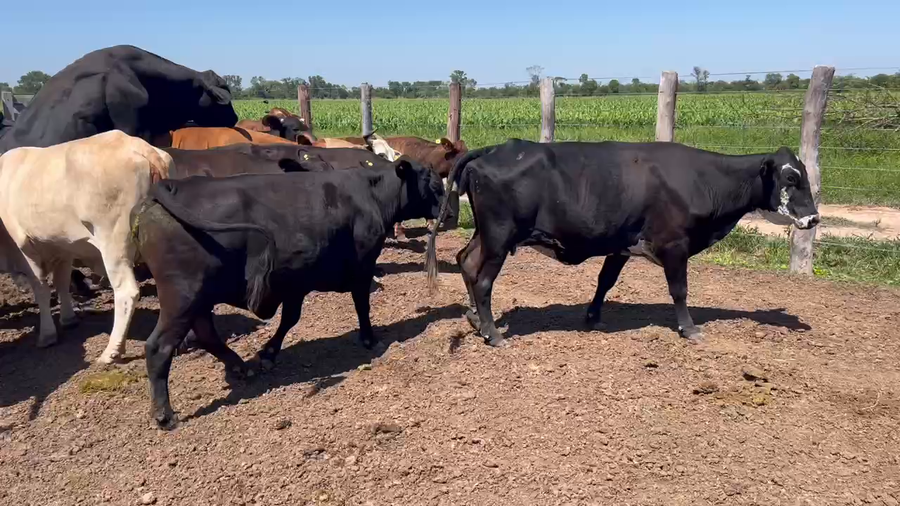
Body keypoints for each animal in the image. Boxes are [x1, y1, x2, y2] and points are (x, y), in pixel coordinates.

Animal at [0, 130, 172, 363]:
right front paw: (68, 319)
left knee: (126, 292)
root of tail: (140, 147)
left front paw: (47, 335)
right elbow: (62, 283)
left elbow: (41, 290)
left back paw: (112, 351)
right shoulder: (63, 247)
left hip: (113, 242)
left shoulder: (25, 249)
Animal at [132, 161, 444, 427]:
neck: (369, 193)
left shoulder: (296, 281)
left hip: (198, 298)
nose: (448, 211)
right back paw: (164, 414)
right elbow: (361, 306)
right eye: (432, 182)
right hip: (182, 296)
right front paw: (369, 339)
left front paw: (268, 352)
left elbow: (290, 319)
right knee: (159, 347)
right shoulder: (362, 267)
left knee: (207, 334)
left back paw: (240, 367)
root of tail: (175, 186)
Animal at [425, 140, 819, 347]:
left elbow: (605, 281)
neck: (701, 179)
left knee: (465, 260)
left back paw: (475, 318)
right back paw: (493, 333)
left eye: (806, 174)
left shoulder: (620, 244)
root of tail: (497, 148)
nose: (814, 218)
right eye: (790, 178)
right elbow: (679, 290)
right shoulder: (675, 245)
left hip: (486, 235)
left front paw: (593, 316)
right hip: (499, 236)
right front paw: (689, 328)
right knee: (483, 280)